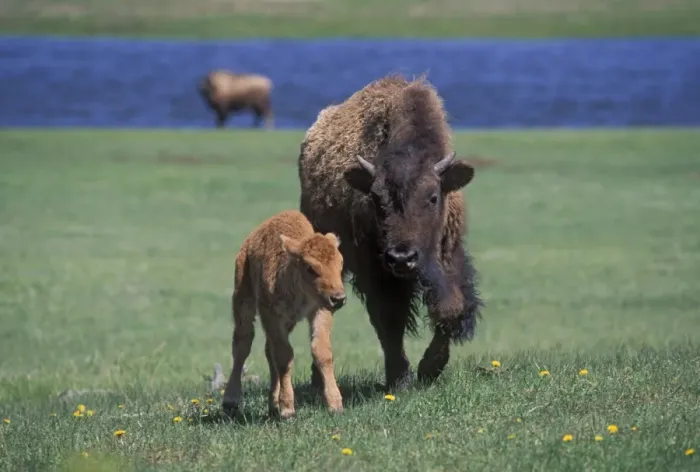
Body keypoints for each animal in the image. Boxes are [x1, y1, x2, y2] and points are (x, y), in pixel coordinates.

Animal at [222, 210, 347, 419]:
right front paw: (288, 409)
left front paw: (335, 405)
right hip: (243, 300)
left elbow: (321, 351)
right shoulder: (271, 314)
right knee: (242, 345)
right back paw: (230, 400)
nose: (338, 298)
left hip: (288, 321)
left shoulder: (320, 310)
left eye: (341, 263)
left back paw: (273, 404)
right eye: (311, 268)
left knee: (267, 350)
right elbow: (284, 355)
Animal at [297, 74, 483, 391]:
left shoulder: (449, 256)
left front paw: (429, 369)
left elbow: (450, 309)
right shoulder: (376, 271)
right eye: (375, 199)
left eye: (433, 197)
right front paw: (401, 378)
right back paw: (317, 380)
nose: (401, 258)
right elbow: (389, 320)